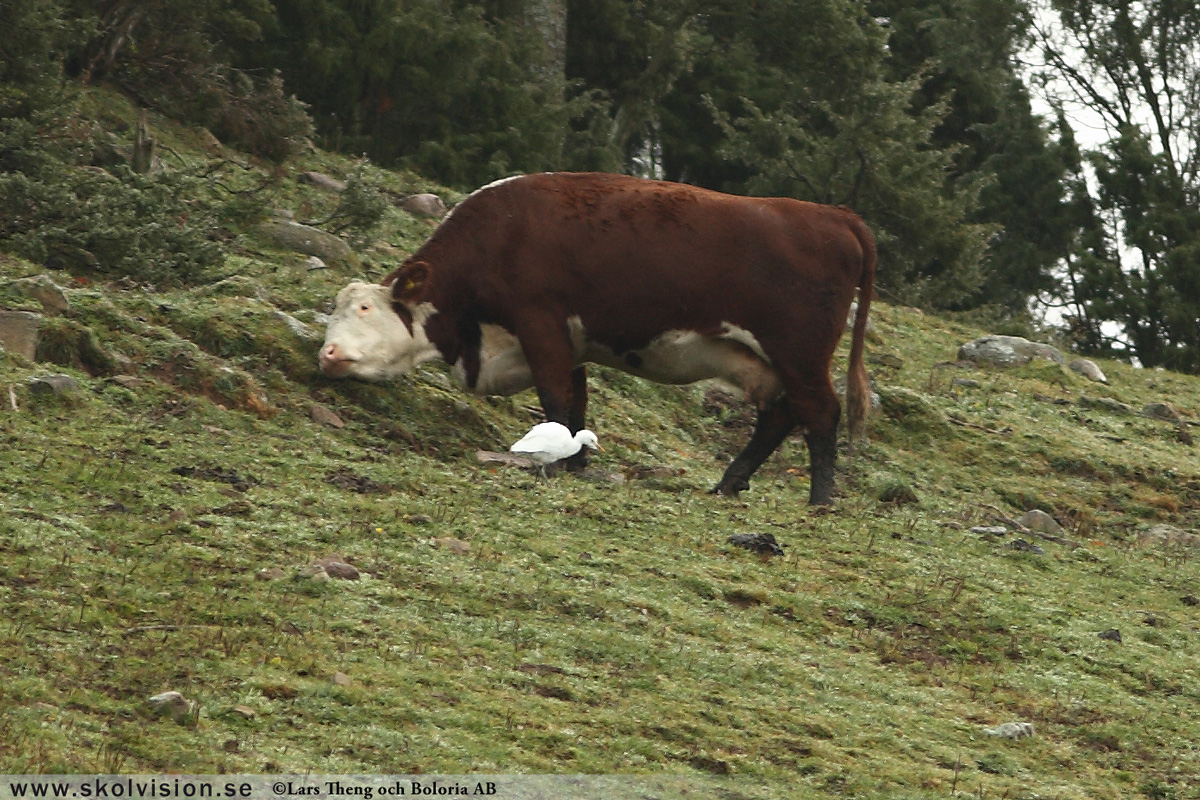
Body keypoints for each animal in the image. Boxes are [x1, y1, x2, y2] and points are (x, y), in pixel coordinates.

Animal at [324, 172, 878, 503]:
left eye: (365, 308)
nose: (327, 353)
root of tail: (834, 214)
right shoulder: (570, 341)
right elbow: (578, 401)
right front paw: (577, 460)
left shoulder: (540, 322)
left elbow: (555, 397)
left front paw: (557, 461)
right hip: (768, 361)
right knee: (779, 416)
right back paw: (729, 483)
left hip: (799, 354)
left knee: (819, 413)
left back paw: (820, 500)